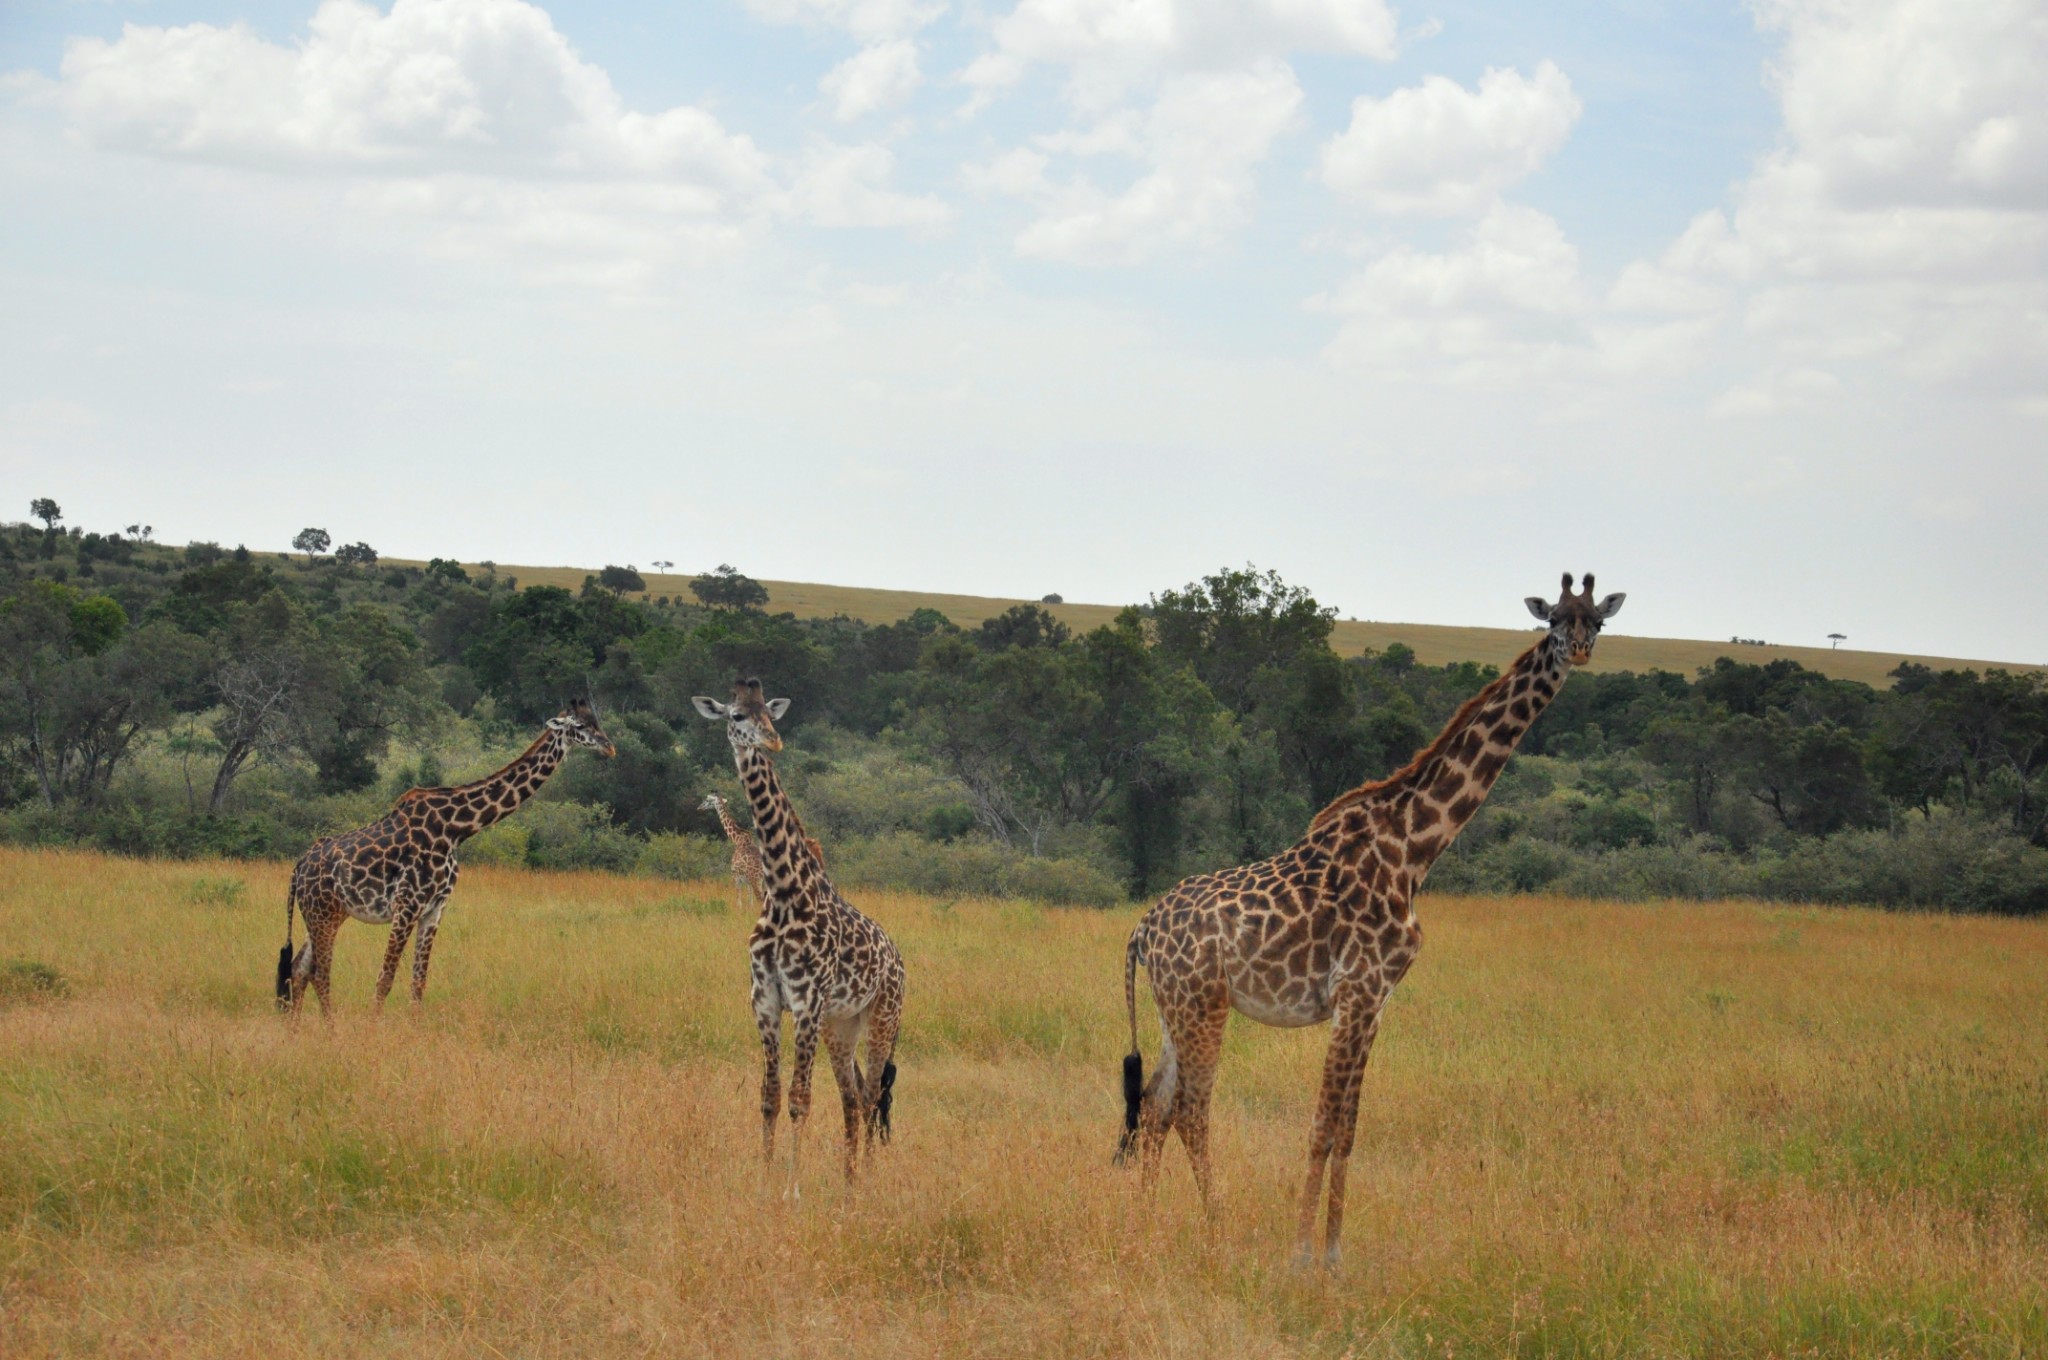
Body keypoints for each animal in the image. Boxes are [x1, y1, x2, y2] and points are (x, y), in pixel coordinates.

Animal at [280, 696, 614, 1015]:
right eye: (580, 726)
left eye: (597, 722)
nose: (610, 748)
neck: (456, 830)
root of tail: (298, 868)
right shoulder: (406, 906)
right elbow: (385, 978)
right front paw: (373, 1029)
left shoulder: (434, 909)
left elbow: (418, 983)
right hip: (322, 915)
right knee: (319, 973)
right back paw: (331, 1029)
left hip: (329, 914)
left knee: (299, 968)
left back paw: (296, 1030)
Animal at [696, 675, 905, 1187]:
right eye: (736, 715)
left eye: (770, 714)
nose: (772, 742)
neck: (785, 892)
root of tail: (899, 960)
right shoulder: (766, 1001)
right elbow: (769, 1097)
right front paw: (766, 1180)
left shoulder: (806, 1002)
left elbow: (800, 1100)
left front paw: (791, 1189)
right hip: (841, 1025)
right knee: (854, 1097)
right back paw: (849, 1179)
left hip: (882, 1019)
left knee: (876, 1093)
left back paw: (868, 1179)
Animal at [1114, 569, 1622, 1261]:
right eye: (1553, 620)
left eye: (1595, 620)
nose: (1579, 652)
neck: (1415, 847)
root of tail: (1142, 929)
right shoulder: (1354, 991)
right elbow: (1322, 1125)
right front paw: (1301, 1255)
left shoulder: (1378, 1000)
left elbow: (1349, 1130)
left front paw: (1333, 1256)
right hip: (1202, 1006)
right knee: (1191, 1111)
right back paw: (1216, 1227)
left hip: (1174, 1008)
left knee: (1155, 1108)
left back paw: (1145, 1223)